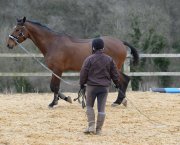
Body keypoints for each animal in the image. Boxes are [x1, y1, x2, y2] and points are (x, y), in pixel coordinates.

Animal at [6, 17, 139, 107]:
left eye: (18, 29)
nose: (9, 44)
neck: (53, 43)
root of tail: (120, 42)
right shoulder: (55, 71)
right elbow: (54, 87)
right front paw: (65, 99)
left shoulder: (58, 70)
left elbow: (54, 86)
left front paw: (54, 103)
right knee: (124, 80)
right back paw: (120, 101)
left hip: (114, 67)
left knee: (124, 80)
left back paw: (118, 101)